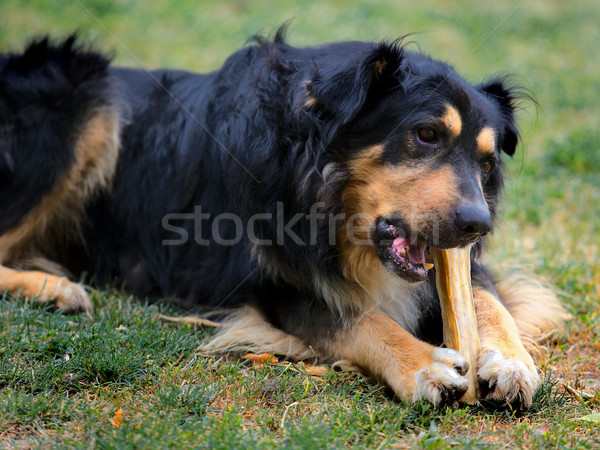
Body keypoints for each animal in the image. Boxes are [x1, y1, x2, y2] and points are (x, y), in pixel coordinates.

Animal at [0, 31, 568, 408]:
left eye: (486, 162)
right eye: (426, 134)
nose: (478, 225)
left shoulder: (457, 263)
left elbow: (487, 298)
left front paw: (512, 360)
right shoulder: (264, 281)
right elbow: (354, 318)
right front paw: (421, 364)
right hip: (82, 101)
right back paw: (51, 288)